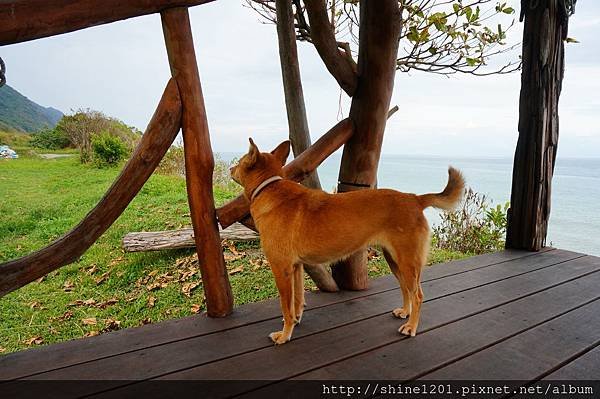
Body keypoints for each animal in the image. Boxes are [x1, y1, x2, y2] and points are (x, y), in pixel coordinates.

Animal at [230, 139, 464, 346]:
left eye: (240, 161)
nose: (230, 167)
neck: (270, 188)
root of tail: (415, 198)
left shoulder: (281, 269)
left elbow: (285, 305)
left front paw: (284, 335)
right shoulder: (295, 268)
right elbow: (296, 301)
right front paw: (295, 321)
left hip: (407, 263)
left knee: (418, 295)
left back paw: (411, 327)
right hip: (395, 261)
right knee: (406, 289)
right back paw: (406, 313)